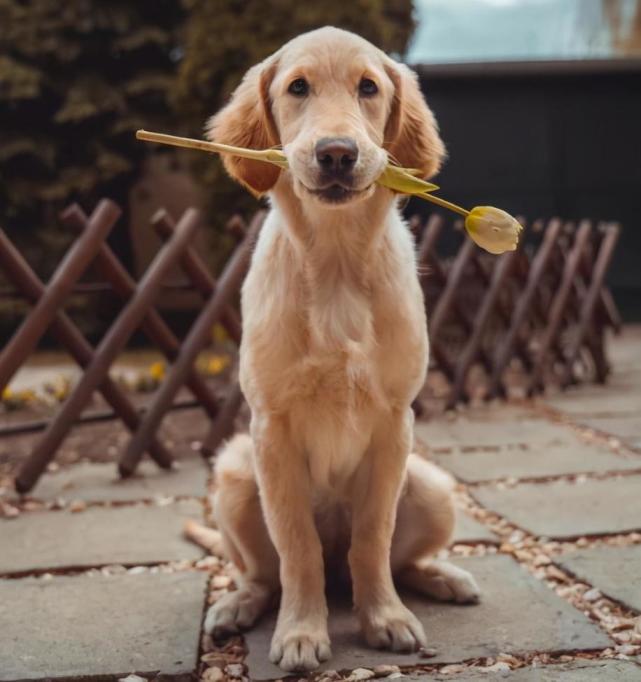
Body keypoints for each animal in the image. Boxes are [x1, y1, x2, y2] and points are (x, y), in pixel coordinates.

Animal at [200, 26, 480, 668]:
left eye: (368, 88)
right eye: (298, 87)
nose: (335, 153)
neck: (334, 264)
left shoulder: (393, 423)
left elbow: (372, 538)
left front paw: (384, 619)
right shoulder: (271, 429)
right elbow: (296, 545)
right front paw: (302, 632)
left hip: (432, 485)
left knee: (392, 560)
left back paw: (442, 577)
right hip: (234, 474)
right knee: (265, 573)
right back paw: (237, 606)